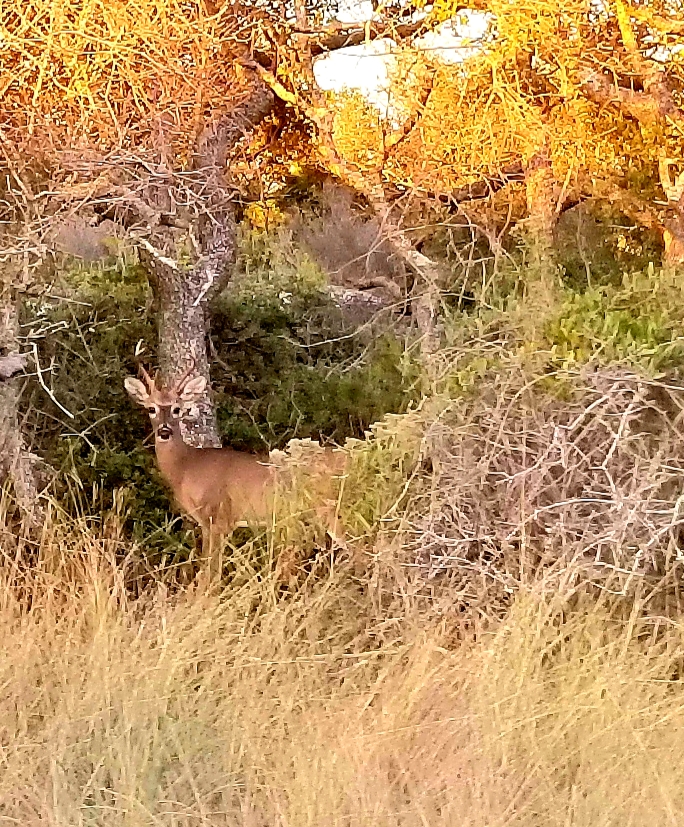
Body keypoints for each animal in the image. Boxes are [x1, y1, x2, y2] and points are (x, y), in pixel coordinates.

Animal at [124, 360, 348, 584]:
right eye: (151, 408)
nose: (164, 431)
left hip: (330, 509)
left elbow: (211, 570)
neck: (187, 468)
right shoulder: (209, 523)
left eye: (177, 409)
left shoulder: (218, 516)